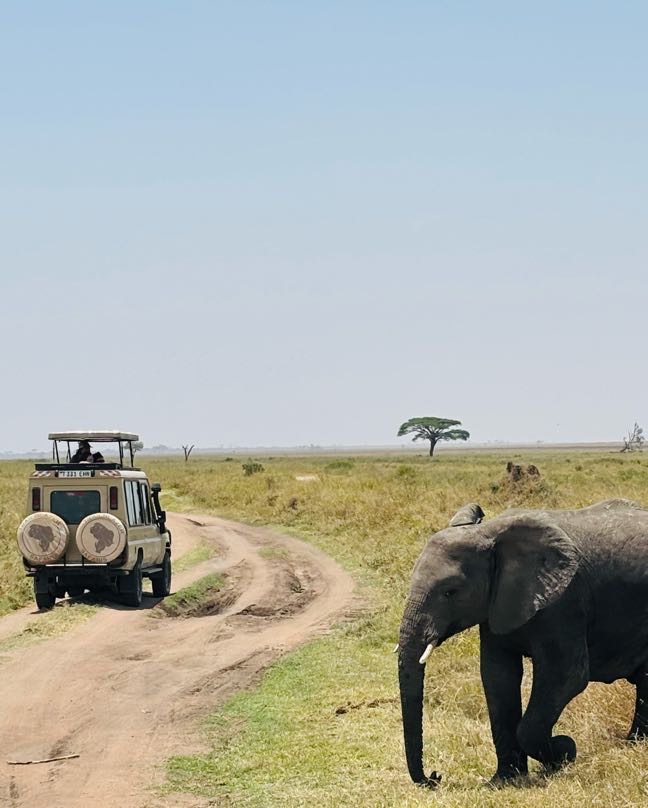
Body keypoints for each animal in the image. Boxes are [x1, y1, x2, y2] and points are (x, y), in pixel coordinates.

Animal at [397, 498, 648, 787]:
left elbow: (566, 677)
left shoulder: (564, 603)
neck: (488, 533)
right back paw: (635, 744)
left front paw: (564, 751)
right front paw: (504, 781)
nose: (435, 776)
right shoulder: (497, 604)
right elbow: (497, 676)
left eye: (450, 592)